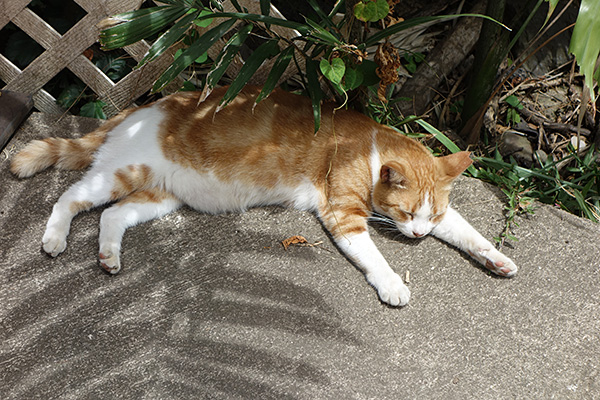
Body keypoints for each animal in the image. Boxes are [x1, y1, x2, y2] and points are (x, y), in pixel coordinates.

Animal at [9, 86, 516, 306]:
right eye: (406, 212)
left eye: (428, 216)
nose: (417, 236)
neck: (371, 149)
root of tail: (143, 107)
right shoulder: (343, 216)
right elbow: (375, 258)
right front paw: (393, 284)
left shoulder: (443, 219)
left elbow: (469, 234)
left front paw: (497, 258)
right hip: (120, 174)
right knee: (69, 198)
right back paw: (53, 239)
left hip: (160, 198)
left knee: (111, 217)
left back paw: (109, 257)